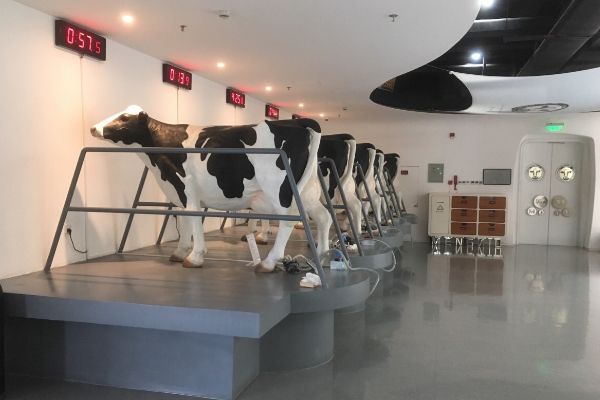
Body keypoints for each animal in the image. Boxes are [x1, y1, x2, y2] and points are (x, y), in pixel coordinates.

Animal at [90, 105, 332, 272]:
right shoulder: (180, 192)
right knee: (324, 216)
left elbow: (194, 218)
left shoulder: (188, 189)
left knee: (289, 219)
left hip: (279, 190)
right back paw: (321, 255)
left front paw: (195, 257)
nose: (93, 128)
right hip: (307, 191)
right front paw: (180, 251)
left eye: (124, 118)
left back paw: (269, 263)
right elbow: (184, 219)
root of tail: (299, 123)